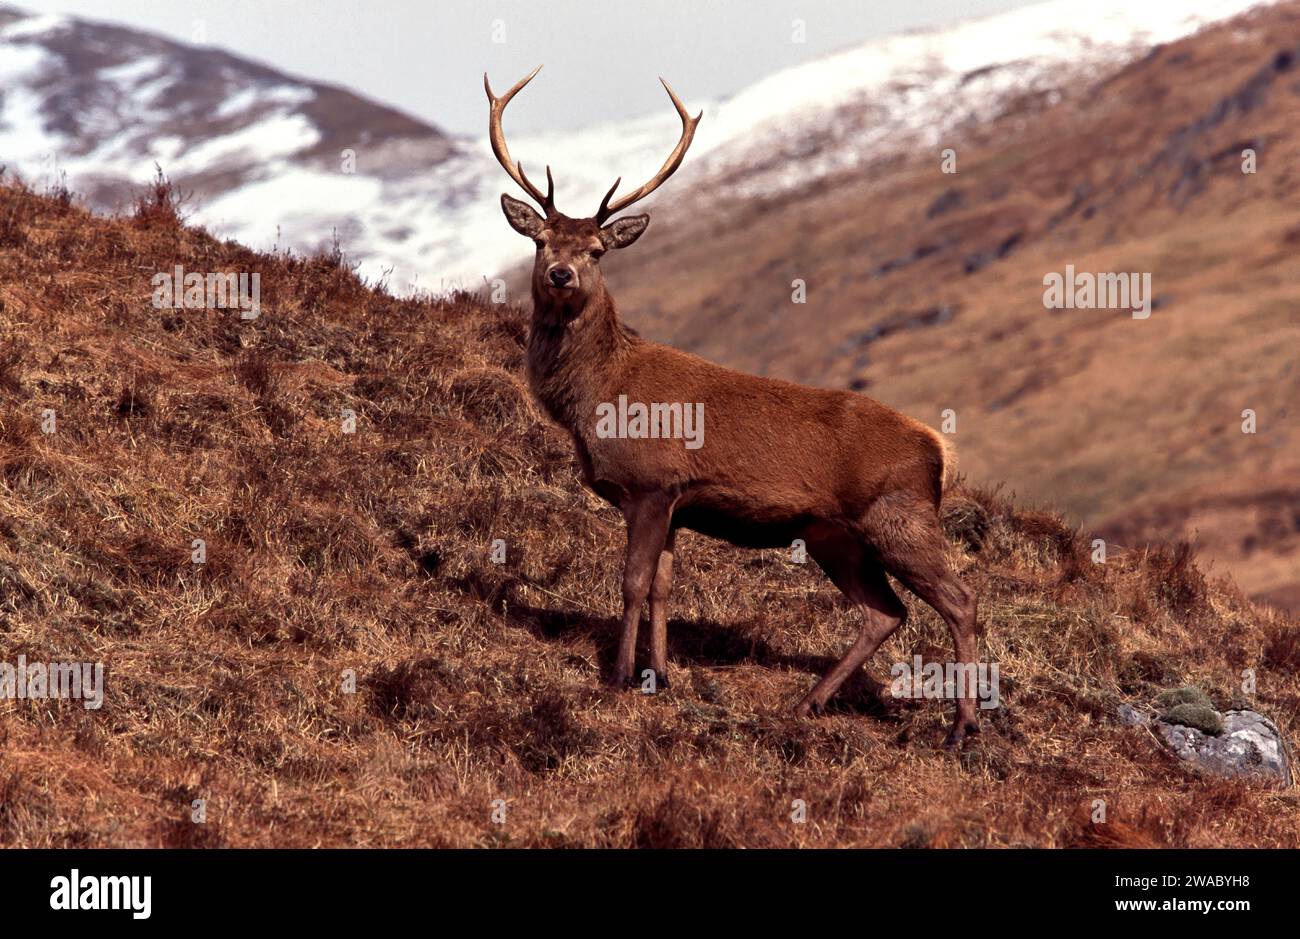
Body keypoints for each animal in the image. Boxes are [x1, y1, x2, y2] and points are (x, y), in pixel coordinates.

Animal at [488, 65, 982, 743]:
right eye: (540, 241)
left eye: (596, 249)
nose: (561, 274)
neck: (598, 398)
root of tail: (940, 448)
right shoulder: (673, 502)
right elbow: (664, 587)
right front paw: (660, 676)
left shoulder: (652, 482)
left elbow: (632, 583)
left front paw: (617, 677)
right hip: (835, 535)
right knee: (886, 611)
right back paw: (807, 703)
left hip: (899, 515)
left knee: (960, 600)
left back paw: (963, 726)